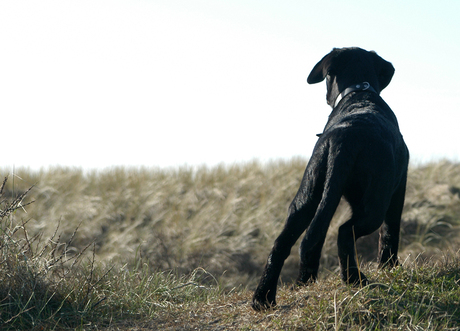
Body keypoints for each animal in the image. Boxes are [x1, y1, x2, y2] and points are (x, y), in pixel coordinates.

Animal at [252, 46, 410, 312]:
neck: (359, 91)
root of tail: (343, 138)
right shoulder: (398, 189)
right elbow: (390, 231)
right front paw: (389, 267)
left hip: (307, 196)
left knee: (285, 242)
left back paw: (266, 297)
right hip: (374, 204)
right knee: (345, 232)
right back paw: (355, 280)